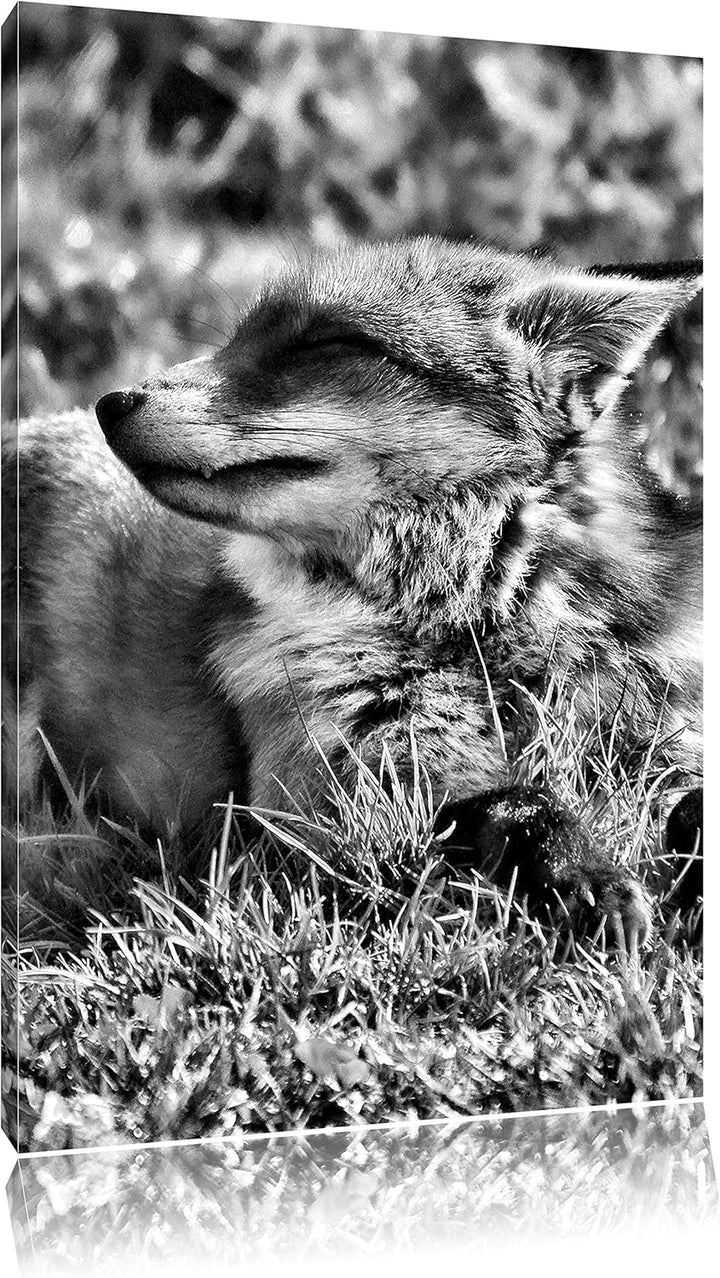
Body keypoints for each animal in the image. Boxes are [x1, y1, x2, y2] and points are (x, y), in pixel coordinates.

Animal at [3, 237, 702, 953]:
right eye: (236, 339)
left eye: (326, 344)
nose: (111, 402)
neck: (475, 640)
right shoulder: (333, 796)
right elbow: (521, 801)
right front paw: (583, 876)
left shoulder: (664, 736)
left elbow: (689, 800)